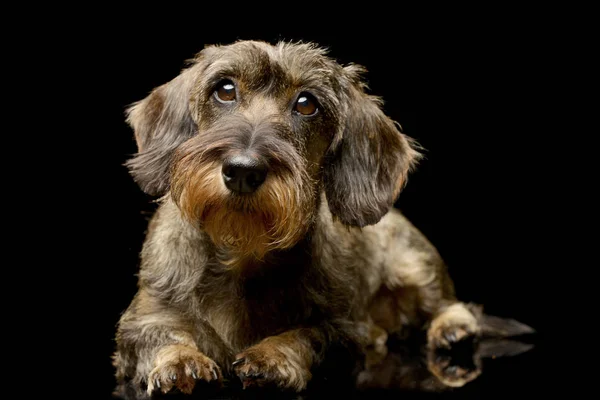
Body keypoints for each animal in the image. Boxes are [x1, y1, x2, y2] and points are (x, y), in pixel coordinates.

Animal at [113, 39, 536, 396]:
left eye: (306, 103)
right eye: (225, 89)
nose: (242, 170)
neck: (241, 250)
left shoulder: (346, 331)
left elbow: (307, 335)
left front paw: (273, 355)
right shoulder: (142, 318)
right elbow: (159, 335)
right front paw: (181, 360)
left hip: (416, 265)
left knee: (451, 304)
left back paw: (452, 328)